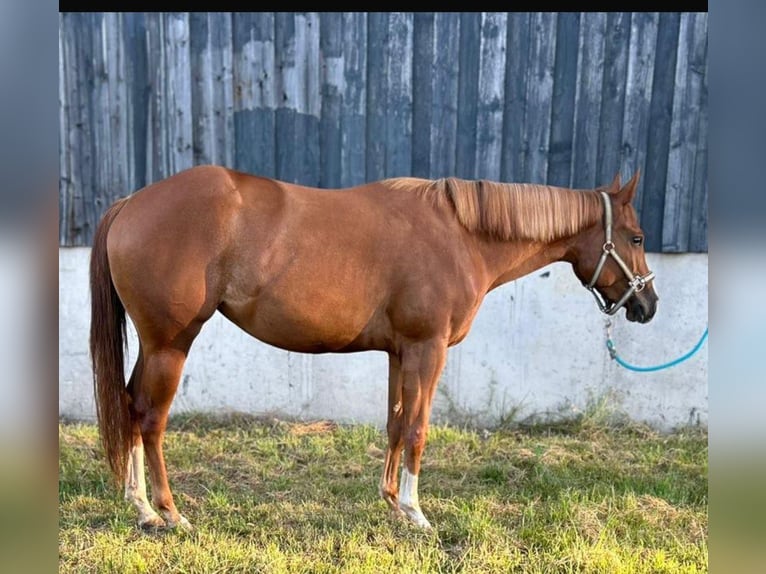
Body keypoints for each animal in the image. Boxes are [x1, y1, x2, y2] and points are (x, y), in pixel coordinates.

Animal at [88, 165, 656, 532]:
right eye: (636, 237)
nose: (647, 305)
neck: (461, 235)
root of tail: (130, 204)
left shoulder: (400, 352)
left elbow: (395, 424)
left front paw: (391, 502)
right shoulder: (428, 349)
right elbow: (418, 429)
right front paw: (417, 514)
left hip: (154, 346)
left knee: (131, 408)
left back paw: (140, 507)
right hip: (171, 344)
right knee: (151, 420)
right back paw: (169, 513)